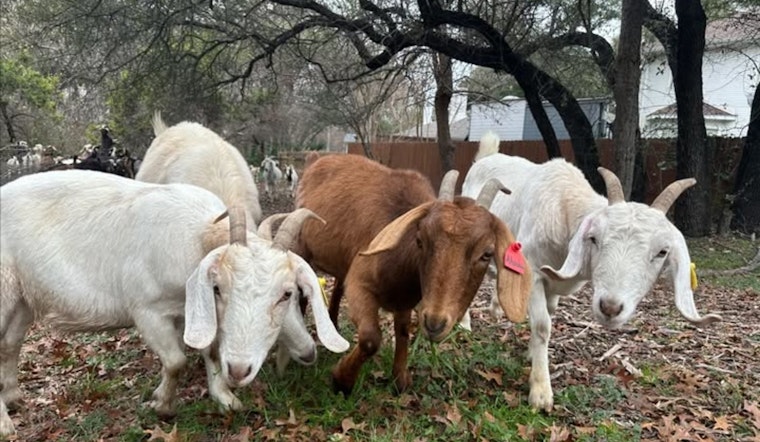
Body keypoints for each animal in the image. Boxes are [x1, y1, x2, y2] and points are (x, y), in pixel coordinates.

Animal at [0, 170, 349, 437]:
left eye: (288, 293)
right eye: (218, 288)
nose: (239, 370)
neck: (197, 237)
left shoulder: (191, 313)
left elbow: (209, 350)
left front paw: (225, 399)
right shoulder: (147, 311)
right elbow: (175, 361)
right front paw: (163, 406)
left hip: (22, 299)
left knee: (10, 344)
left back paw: (14, 398)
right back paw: (5, 424)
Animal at [295, 154, 532, 395]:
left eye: (487, 254)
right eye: (420, 240)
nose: (435, 323)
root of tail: (316, 158)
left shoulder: (405, 300)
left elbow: (402, 331)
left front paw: (399, 378)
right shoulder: (360, 284)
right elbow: (371, 338)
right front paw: (342, 380)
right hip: (301, 243)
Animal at [460, 132, 722, 411]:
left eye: (662, 252)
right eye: (594, 238)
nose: (610, 308)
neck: (564, 206)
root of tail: (487, 155)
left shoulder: (553, 281)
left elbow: (548, 314)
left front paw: (532, 353)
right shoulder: (533, 271)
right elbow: (543, 326)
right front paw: (541, 392)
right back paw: (464, 324)